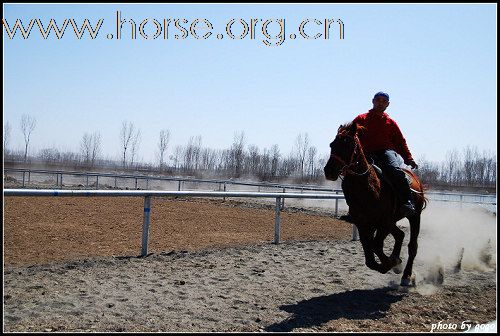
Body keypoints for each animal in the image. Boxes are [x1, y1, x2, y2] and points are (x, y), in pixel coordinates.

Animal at [326, 122, 428, 284]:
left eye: (349, 144)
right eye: (332, 144)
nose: (329, 171)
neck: (369, 189)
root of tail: (416, 180)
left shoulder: (383, 223)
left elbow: (376, 246)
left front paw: (392, 262)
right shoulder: (363, 224)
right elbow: (370, 258)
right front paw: (392, 262)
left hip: (414, 216)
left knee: (412, 246)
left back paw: (406, 275)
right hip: (392, 221)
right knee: (400, 235)